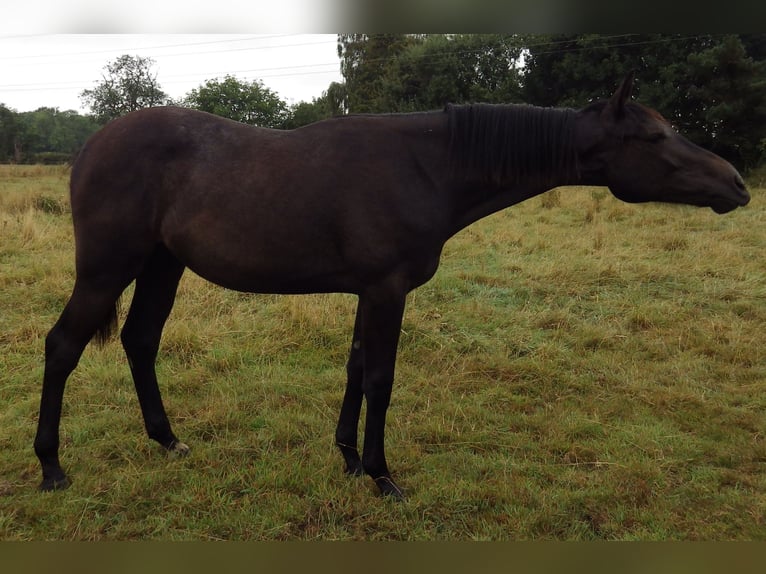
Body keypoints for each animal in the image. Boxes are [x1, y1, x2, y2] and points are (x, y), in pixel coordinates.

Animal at [34, 73, 752, 500]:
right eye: (655, 135)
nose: (738, 184)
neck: (427, 166)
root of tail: (93, 144)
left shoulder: (368, 293)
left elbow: (355, 370)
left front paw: (350, 459)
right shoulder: (388, 290)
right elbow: (381, 377)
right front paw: (382, 476)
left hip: (161, 265)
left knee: (140, 341)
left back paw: (167, 440)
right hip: (107, 268)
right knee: (63, 346)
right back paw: (51, 467)